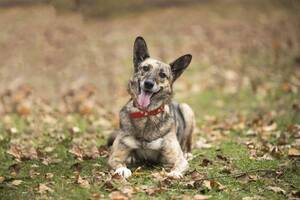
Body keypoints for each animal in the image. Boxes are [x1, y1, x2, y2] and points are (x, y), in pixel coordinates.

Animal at [107, 36, 195, 180]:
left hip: (187, 109)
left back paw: (188, 152)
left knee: (188, 143)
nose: (148, 84)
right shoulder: (115, 156)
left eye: (162, 75)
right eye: (145, 68)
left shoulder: (178, 158)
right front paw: (123, 170)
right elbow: (118, 162)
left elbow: (178, 165)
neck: (146, 114)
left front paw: (174, 173)